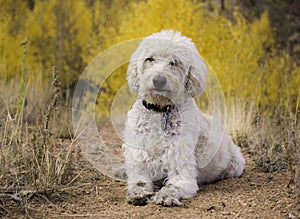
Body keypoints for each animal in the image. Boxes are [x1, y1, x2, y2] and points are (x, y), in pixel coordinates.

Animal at [120, 30, 245, 206]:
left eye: (174, 62)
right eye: (150, 59)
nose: (159, 80)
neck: (160, 110)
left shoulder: (181, 168)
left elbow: (174, 185)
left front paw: (166, 195)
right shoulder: (139, 163)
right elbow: (139, 182)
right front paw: (138, 193)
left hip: (235, 163)